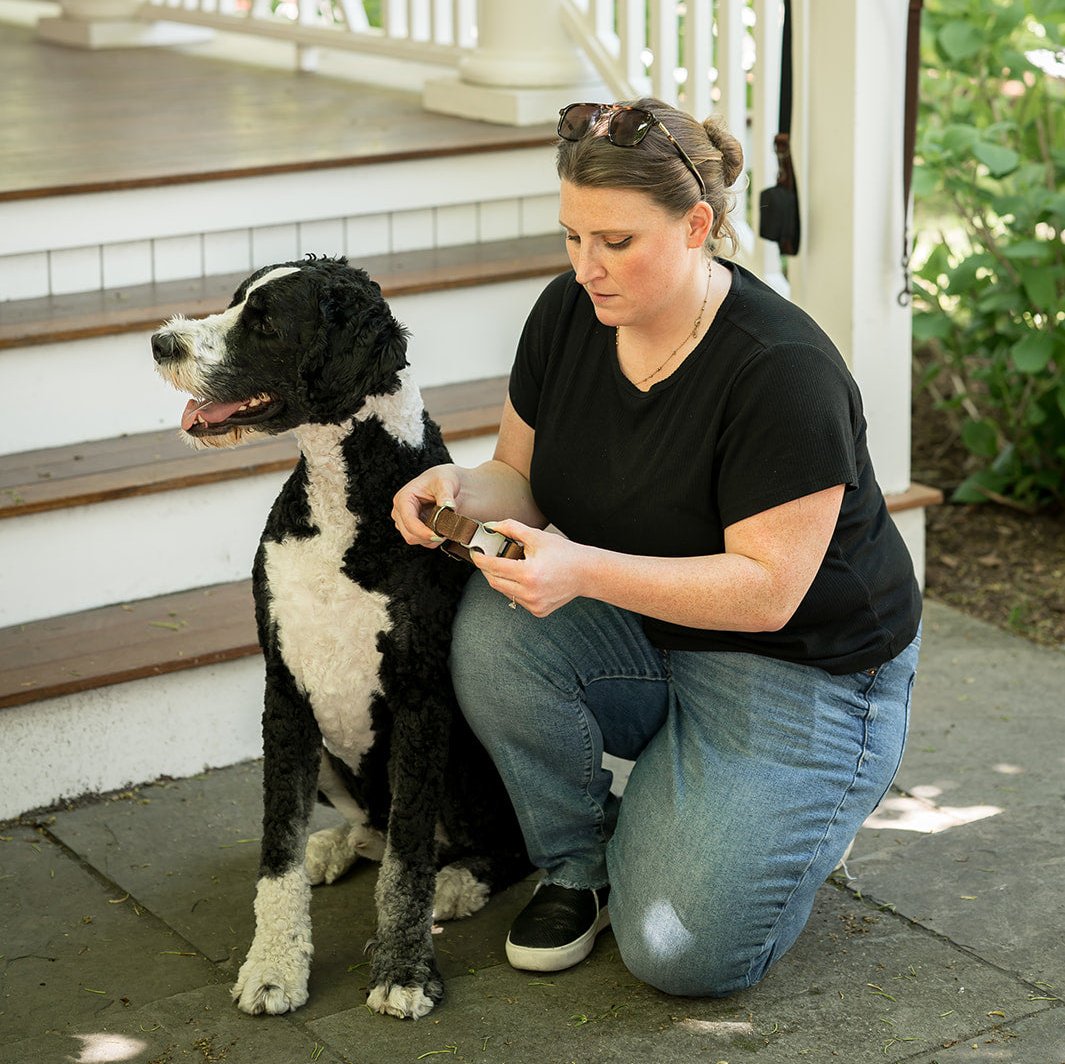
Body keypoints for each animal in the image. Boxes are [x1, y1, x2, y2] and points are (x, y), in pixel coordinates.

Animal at [151, 256, 530, 1019]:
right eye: (234, 300)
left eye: (265, 320)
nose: (161, 343)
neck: (342, 497)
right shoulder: (284, 692)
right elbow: (277, 849)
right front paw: (273, 968)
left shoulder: (420, 701)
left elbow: (408, 863)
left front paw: (405, 970)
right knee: (373, 828)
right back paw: (335, 846)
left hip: (463, 755)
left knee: (487, 844)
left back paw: (459, 882)